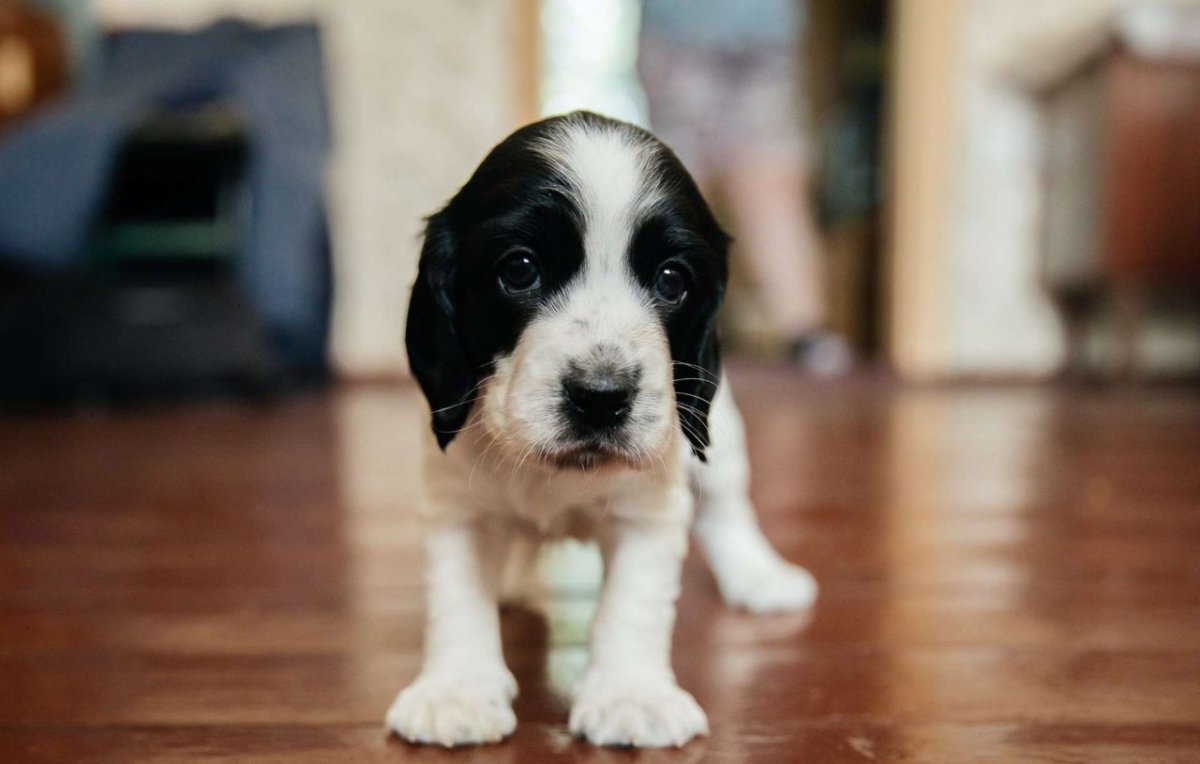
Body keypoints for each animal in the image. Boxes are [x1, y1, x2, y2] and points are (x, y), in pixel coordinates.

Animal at [387, 111, 817, 748]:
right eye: (519, 269)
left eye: (672, 280)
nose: (601, 398)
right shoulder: (458, 507)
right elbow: (458, 598)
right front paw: (456, 690)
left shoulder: (648, 513)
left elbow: (631, 605)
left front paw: (631, 695)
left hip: (720, 435)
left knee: (726, 506)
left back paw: (759, 575)